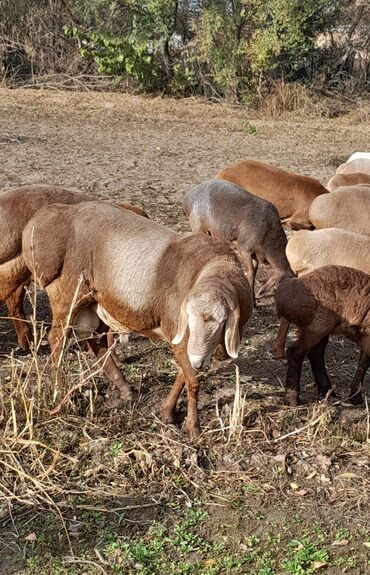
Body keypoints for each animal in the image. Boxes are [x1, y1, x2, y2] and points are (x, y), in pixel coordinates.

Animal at [21, 200, 253, 438]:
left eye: (221, 322)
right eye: (189, 317)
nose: (199, 359)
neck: (214, 266)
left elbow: (185, 374)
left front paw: (167, 413)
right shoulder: (179, 333)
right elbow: (192, 380)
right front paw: (194, 428)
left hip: (98, 301)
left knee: (97, 342)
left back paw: (124, 388)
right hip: (68, 293)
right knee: (57, 339)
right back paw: (59, 392)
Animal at [274, 268, 368, 408]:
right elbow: (363, 364)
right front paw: (356, 397)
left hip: (320, 328)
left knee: (315, 353)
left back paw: (327, 392)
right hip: (318, 325)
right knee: (296, 352)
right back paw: (292, 399)